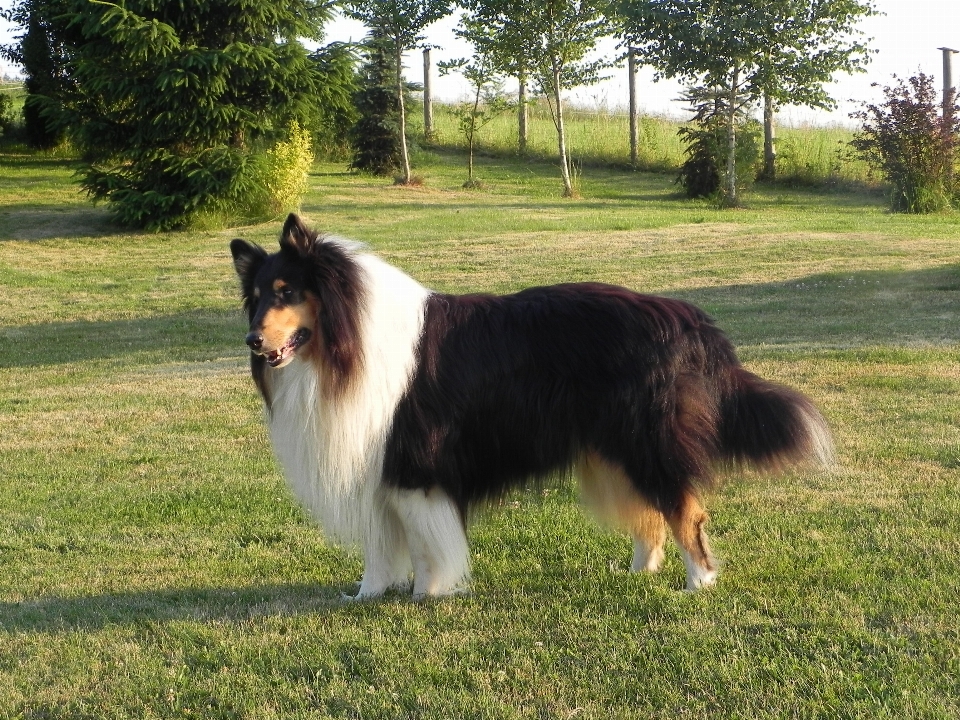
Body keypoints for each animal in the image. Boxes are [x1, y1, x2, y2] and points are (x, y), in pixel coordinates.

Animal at [231, 214, 832, 596]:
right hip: (611, 450)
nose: (254, 342)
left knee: (686, 510)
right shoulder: (379, 471)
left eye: (287, 292)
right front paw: (367, 597)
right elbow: (381, 550)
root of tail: (691, 321)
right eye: (256, 297)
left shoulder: (416, 467)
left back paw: (699, 583)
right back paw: (638, 575)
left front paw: (430, 594)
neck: (345, 338)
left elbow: (429, 545)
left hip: (645, 443)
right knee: (650, 518)